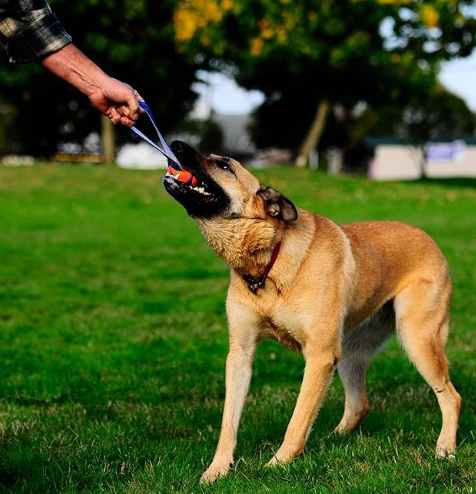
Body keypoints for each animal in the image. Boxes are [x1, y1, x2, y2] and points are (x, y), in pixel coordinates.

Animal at [163, 141, 462, 484]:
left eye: (225, 166)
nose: (176, 145)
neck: (269, 262)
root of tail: (430, 240)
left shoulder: (319, 355)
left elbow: (297, 419)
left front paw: (277, 464)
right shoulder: (240, 353)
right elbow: (229, 422)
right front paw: (217, 470)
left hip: (417, 338)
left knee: (451, 397)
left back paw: (445, 448)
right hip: (350, 352)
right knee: (360, 404)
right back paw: (334, 437)